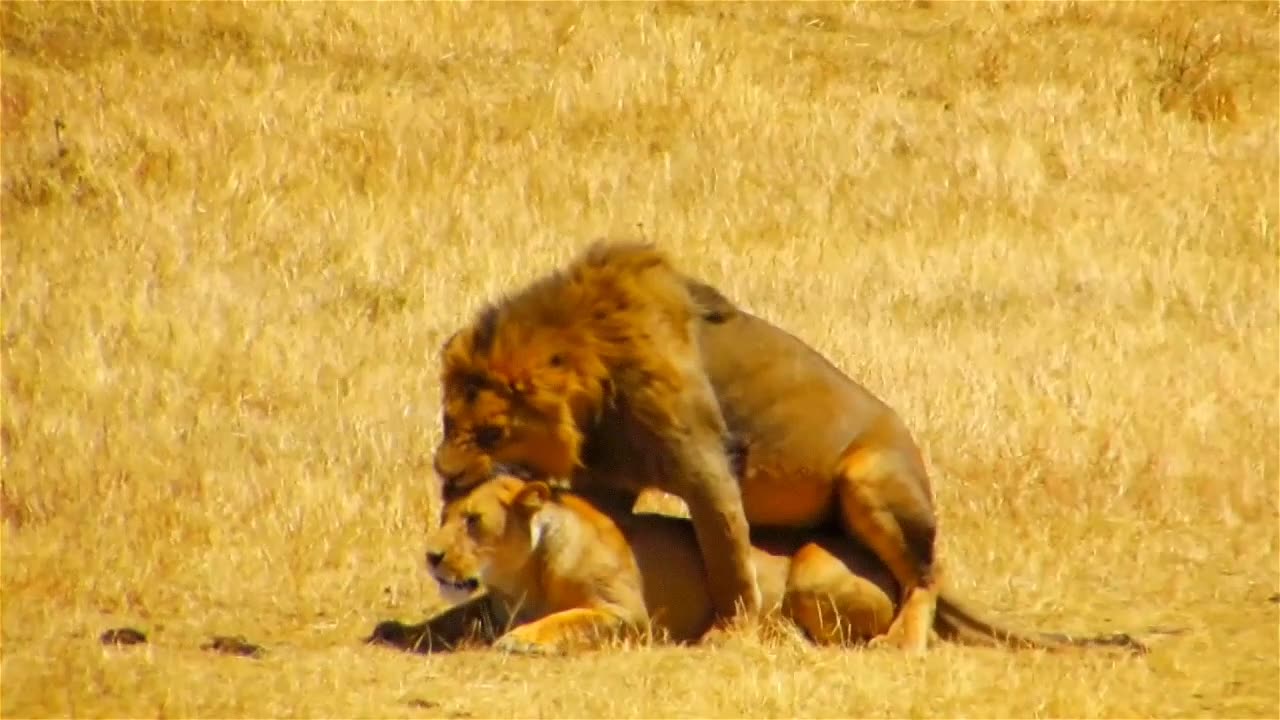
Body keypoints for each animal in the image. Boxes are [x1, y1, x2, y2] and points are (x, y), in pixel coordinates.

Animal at [435, 238, 936, 648]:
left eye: (492, 433)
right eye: (447, 419)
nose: (444, 475)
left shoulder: (707, 468)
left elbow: (727, 560)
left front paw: (730, 632)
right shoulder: (608, 481)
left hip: (867, 478)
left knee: (925, 575)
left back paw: (901, 640)